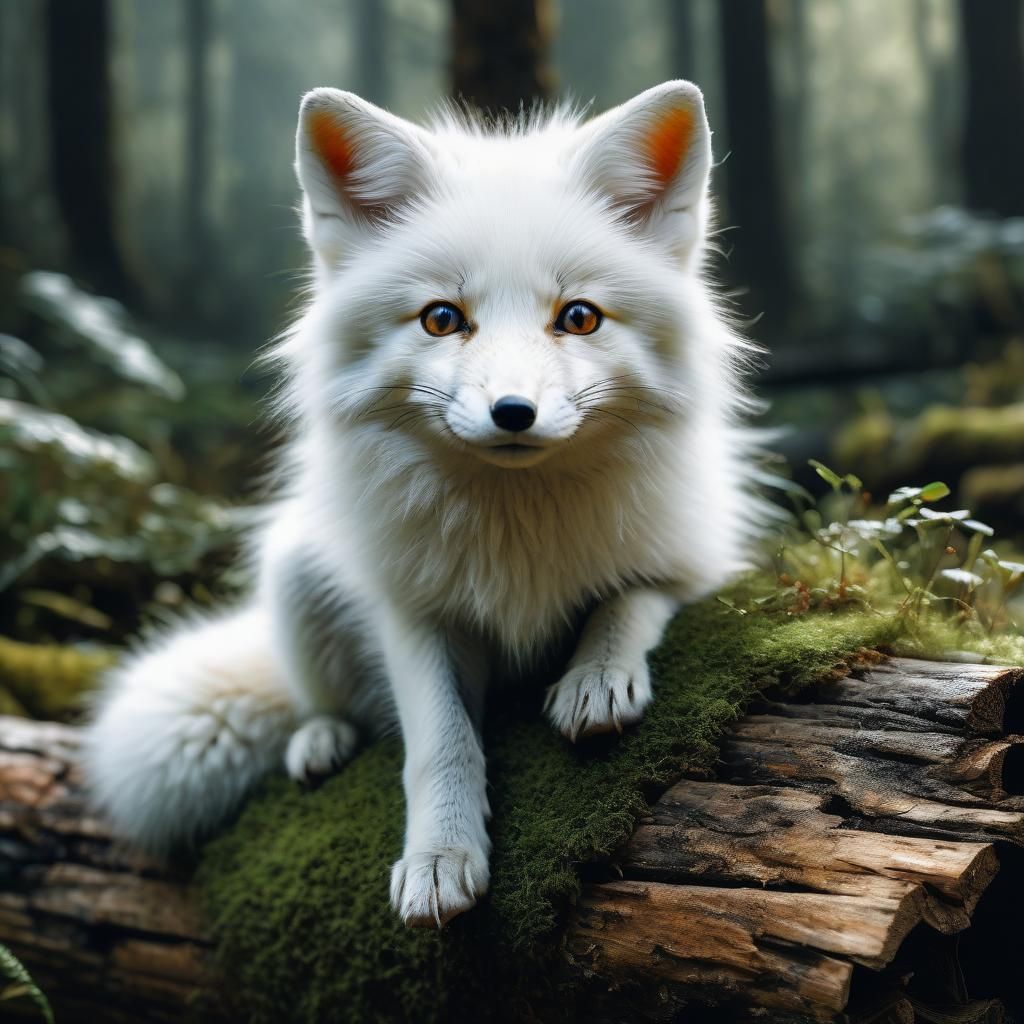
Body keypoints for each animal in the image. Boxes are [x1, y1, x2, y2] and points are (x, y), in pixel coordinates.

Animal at [83, 80, 766, 928]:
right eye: (442, 318)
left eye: (579, 317)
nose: (514, 413)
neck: (516, 524)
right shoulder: (412, 614)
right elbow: (439, 743)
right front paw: (440, 858)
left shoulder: (691, 555)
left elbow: (627, 600)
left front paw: (597, 677)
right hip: (298, 571)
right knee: (323, 701)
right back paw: (320, 740)